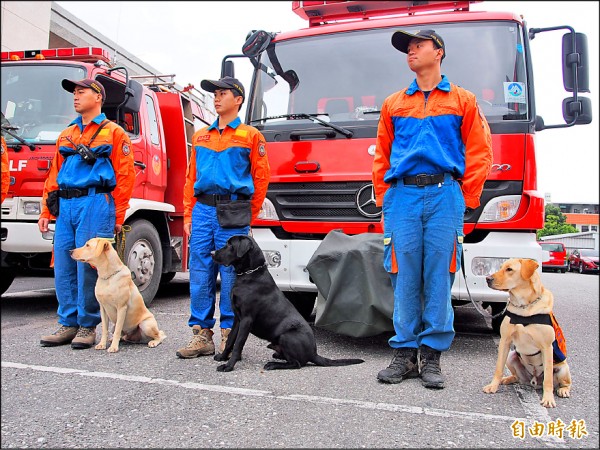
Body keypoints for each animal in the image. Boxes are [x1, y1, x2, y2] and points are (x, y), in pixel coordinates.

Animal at [213, 236, 364, 372]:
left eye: (230, 245)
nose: (212, 253)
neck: (249, 275)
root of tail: (313, 353)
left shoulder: (246, 320)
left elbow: (238, 344)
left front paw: (229, 366)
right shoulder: (237, 319)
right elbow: (230, 340)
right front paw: (223, 357)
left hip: (287, 336)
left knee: (296, 363)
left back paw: (273, 364)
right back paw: (276, 355)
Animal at [482, 256, 572, 408]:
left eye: (509, 269)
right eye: (500, 267)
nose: (488, 278)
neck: (523, 307)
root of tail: (534, 382)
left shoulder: (547, 347)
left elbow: (548, 379)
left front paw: (548, 398)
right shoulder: (505, 341)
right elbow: (498, 368)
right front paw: (493, 385)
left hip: (563, 368)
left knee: (563, 383)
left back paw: (563, 390)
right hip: (511, 357)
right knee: (517, 377)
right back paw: (507, 379)